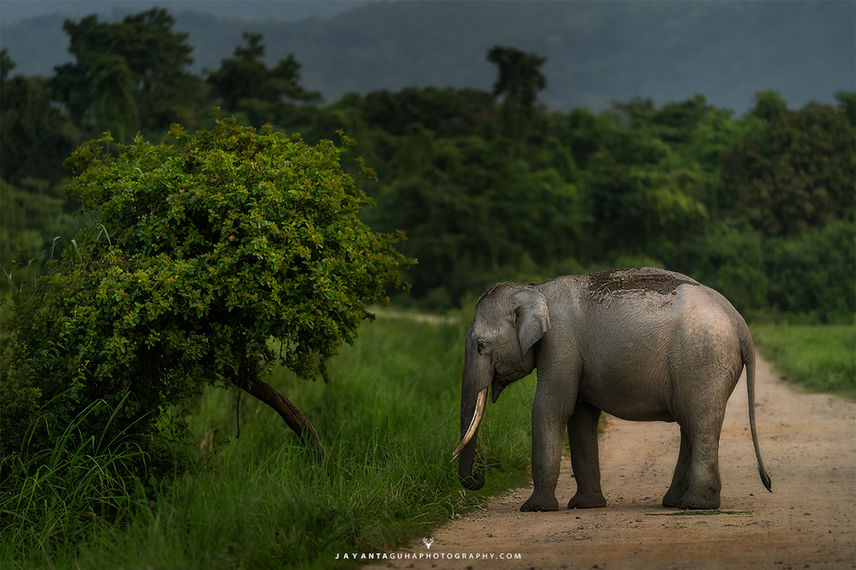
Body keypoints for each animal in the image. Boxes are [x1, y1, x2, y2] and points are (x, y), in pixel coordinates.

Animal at [452, 267, 771, 511]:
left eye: (481, 346)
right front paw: (585, 506)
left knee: (699, 421)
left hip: (703, 359)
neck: (534, 289)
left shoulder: (561, 343)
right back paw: (674, 502)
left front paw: (535, 509)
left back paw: (695, 506)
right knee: (690, 424)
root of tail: (740, 323)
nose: (480, 478)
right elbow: (580, 415)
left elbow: (550, 408)